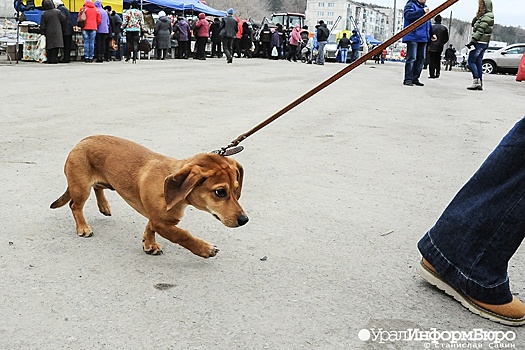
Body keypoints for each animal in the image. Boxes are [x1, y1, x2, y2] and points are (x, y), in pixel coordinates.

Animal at [50, 135, 247, 258]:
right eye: (220, 192)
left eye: (236, 189)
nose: (244, 220)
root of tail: (81, 141)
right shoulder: (162, 223)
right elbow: (182, 235)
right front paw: (205, 248)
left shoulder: (157, 218)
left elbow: (149, 227)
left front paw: (149, 244)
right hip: (81, 188)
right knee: (75, 206)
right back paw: (83, 227)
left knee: (98, 188)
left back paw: (104, 206)